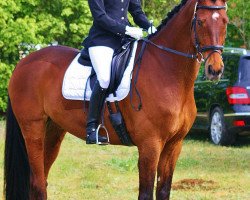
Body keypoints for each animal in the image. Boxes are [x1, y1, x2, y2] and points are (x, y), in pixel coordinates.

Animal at [3, 0, 228, 199]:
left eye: (225, 21)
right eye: (200, 22)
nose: (215, 70)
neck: (167, 71)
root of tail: (24, 61)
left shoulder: (174, 145)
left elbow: (164, 191)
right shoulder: (150, 144)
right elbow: (146, 193)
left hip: (53, 130)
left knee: (41, 180)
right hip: (33, 128)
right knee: (38, 183)